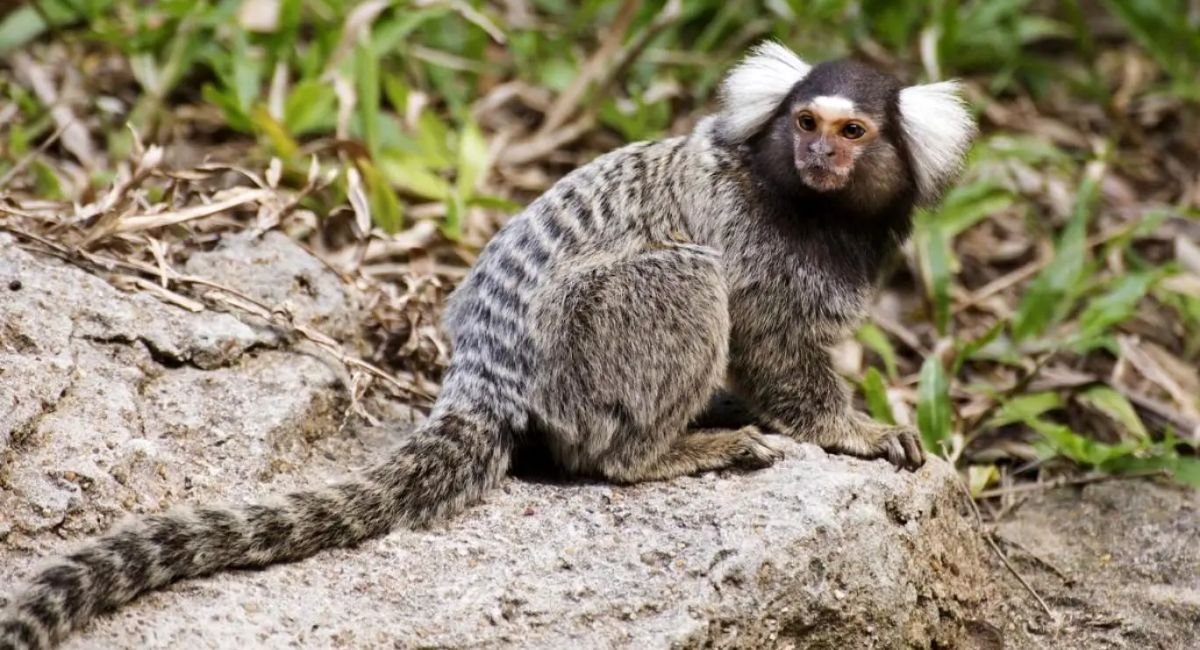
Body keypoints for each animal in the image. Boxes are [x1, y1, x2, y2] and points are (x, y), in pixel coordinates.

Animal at [0, 41, 975, 649]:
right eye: (806, 123)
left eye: (853, 131)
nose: (821, 157)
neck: (809, 206)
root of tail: (484, 370)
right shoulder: (756, 243)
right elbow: (771, 342)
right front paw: (851, 430)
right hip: (591, 339)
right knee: (679, 292)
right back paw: (667, 453)